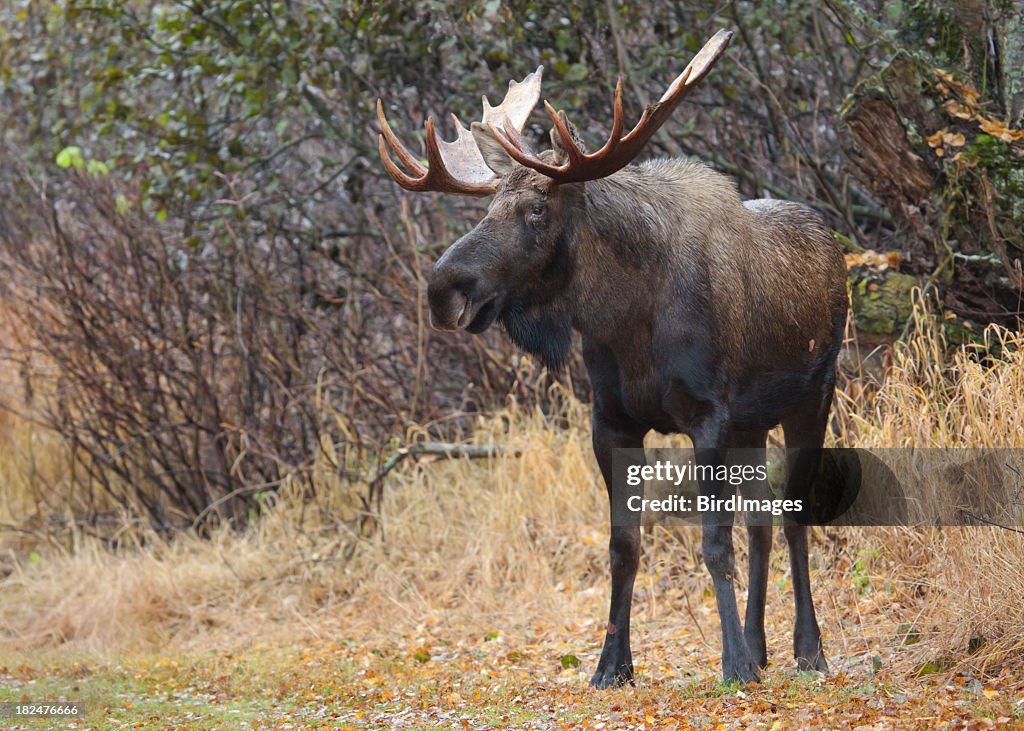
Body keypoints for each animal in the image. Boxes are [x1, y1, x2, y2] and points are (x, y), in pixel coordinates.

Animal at [376, 29, 847, 688]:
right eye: (487, 210)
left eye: (537, 211)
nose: (444, 289)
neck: (625, 323)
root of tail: (836, 248)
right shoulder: (612, 421)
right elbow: (624, 548)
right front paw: (613, 665)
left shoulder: (708, 416)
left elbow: (713, 543)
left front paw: (730, 664)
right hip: (754, 422)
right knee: (761, 523)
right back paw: (760, 648)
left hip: (813, 396)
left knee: (793, 516)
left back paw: (807, 650)